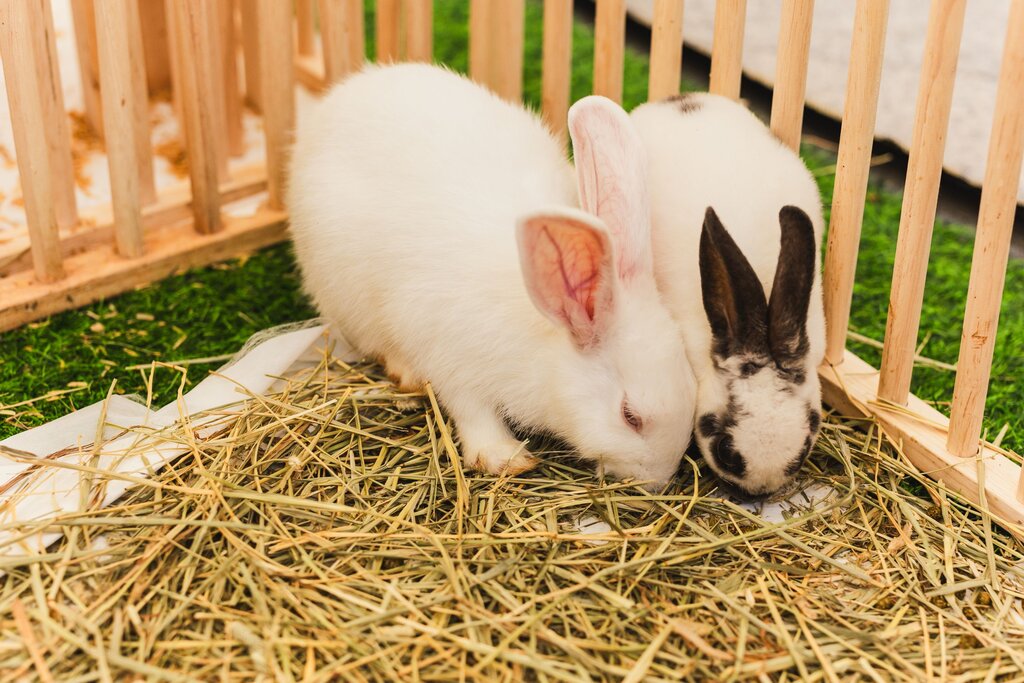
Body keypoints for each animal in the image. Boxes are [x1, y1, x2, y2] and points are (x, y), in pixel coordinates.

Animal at [287, 64, 696, 488]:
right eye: (630, 416)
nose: (659, 481)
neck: (546, 335)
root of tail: (332, 106)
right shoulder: (453, 362)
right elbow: (472, 412)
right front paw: (506, 458)